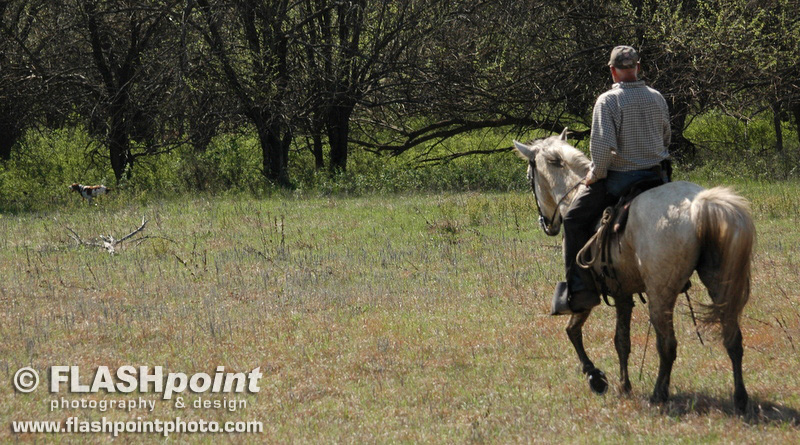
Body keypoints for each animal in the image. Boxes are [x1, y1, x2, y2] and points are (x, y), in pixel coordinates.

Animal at [513, 129, 755, 414]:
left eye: (530, 177)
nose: (546, 224)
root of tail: (700, 205)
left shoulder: (588, 290)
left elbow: (574, 330)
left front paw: (596, 377)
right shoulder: (622, 293)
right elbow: (622, 341)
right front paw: (623, 384)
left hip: (661, 294)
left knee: (667, 345)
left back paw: (659, 394)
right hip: (719, 284)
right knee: (733, 339)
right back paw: (740, 399)